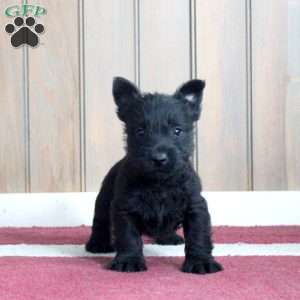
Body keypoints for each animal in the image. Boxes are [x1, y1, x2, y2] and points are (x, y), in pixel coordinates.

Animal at [86, 77, 223, 274]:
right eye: (140, 131)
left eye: (177, 130)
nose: (159, 158)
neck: (159, 183)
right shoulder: (125, 208)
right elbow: (128, 237)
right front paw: (129, 260)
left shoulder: (195, 207)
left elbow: (198, 235)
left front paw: (200, 261)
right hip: (103, 200)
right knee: (100, 221)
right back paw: (98, 243)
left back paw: (169, 237)